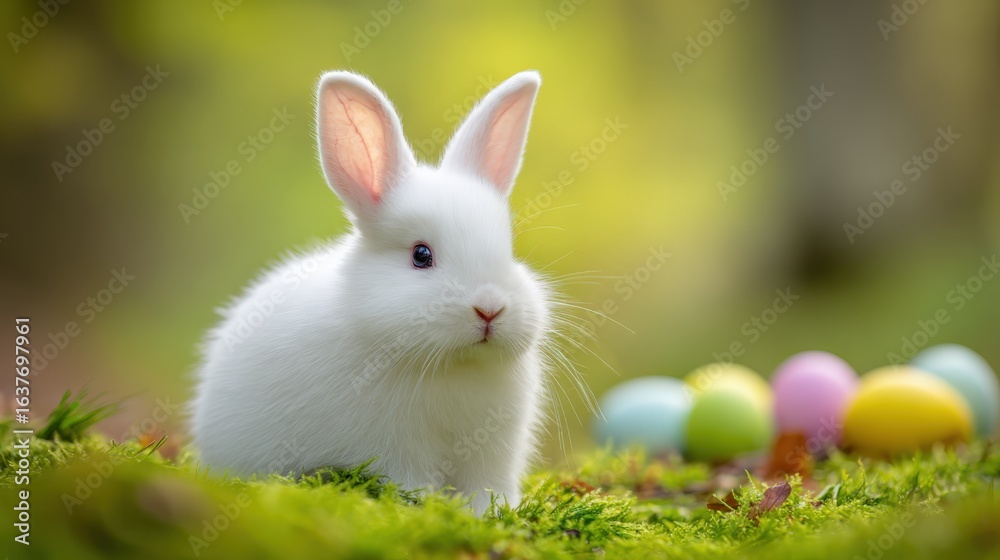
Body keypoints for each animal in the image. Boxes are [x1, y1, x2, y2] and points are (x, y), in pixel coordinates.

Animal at [189, 70, 552, 515]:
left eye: (508, 251)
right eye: (420, 255)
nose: (489, 309)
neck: (452, 365)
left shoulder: (492, 453)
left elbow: (486, 490)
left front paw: (491, 514)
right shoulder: (395, 450)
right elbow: (410, 483)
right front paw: (421, 508)